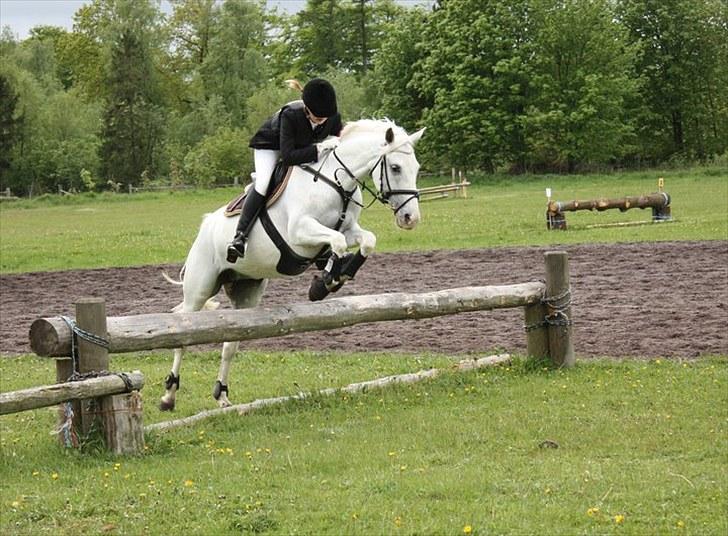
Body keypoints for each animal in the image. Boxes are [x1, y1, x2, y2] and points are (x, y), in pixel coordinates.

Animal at [158, 119, 420, 408]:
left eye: (417, 168)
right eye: (395, 167)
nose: (411, 218)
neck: (337, 183)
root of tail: (205, 226)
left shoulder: (350, 229)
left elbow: (365, 241)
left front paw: (334, 278)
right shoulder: (299, 234)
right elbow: (338, 242)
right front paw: (324, 283)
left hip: (246, 292)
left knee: (230, 344)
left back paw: (223, 395)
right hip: (199, 288)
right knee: (182, 337)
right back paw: (169, 394)